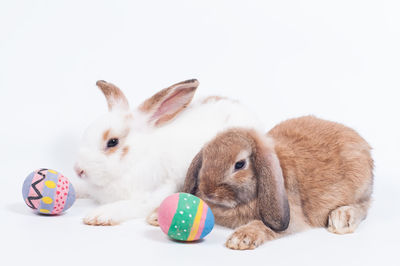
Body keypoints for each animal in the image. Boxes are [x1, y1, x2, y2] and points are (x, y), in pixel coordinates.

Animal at [74, 78, 262, 224]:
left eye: (112, 142)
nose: (78, 170)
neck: (137, 159)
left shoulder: (157, 191)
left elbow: (132, 205)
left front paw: (98, 215)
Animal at [183, 116, 374, 249]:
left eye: (240, 164)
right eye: (206, 158)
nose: (208, 191)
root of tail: (363, 144)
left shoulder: (291, 219)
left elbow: (262, 225)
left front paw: (240, 239)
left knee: (364, 206)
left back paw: (342, 218)